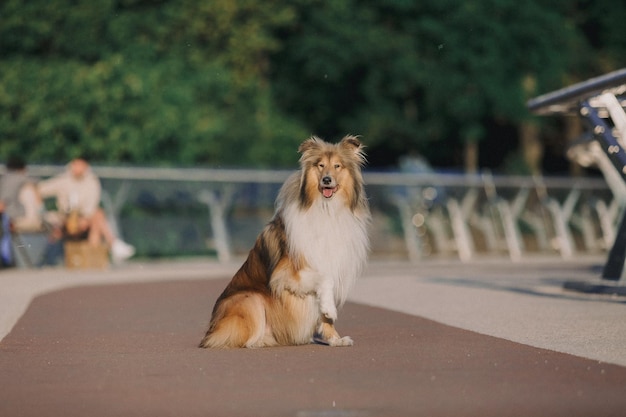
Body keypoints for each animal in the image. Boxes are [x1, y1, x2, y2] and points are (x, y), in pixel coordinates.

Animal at [197, 136, 368, 348]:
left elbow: (325, 310)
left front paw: (335, 339)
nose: (326, 180)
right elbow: (324, 278)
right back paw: (259, 341)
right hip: (250, 298)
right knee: (239, 339)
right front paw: (330, 310)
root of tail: (210, 332)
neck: (326, 209)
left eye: (337, 166)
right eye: (320, 165)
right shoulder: (287, 273)